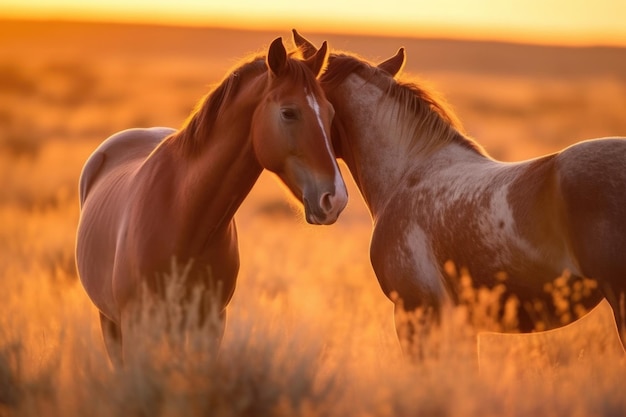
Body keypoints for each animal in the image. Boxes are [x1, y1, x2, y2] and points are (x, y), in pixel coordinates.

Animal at [74, 38, 346, 364]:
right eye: (289, 112)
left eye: (331, 113)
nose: (336, 198)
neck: (184, 216)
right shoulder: (138, 327)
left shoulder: (210, 326)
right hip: (110, 322)